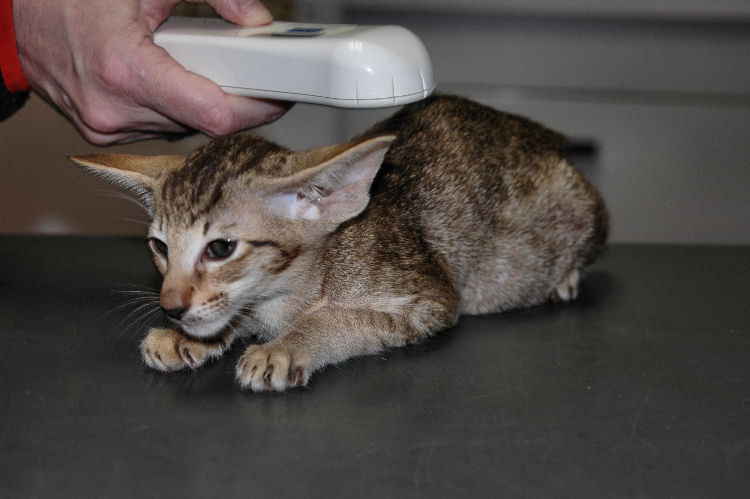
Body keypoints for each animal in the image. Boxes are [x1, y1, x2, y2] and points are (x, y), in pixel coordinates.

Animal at [72, 95, 608, 392]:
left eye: (221, 249)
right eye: (161, 247)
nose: (171, 307)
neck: (285, 296)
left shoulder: (429, 299)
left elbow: (340, 318)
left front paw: (286, 346)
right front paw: (191, 336)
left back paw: (566, 279)